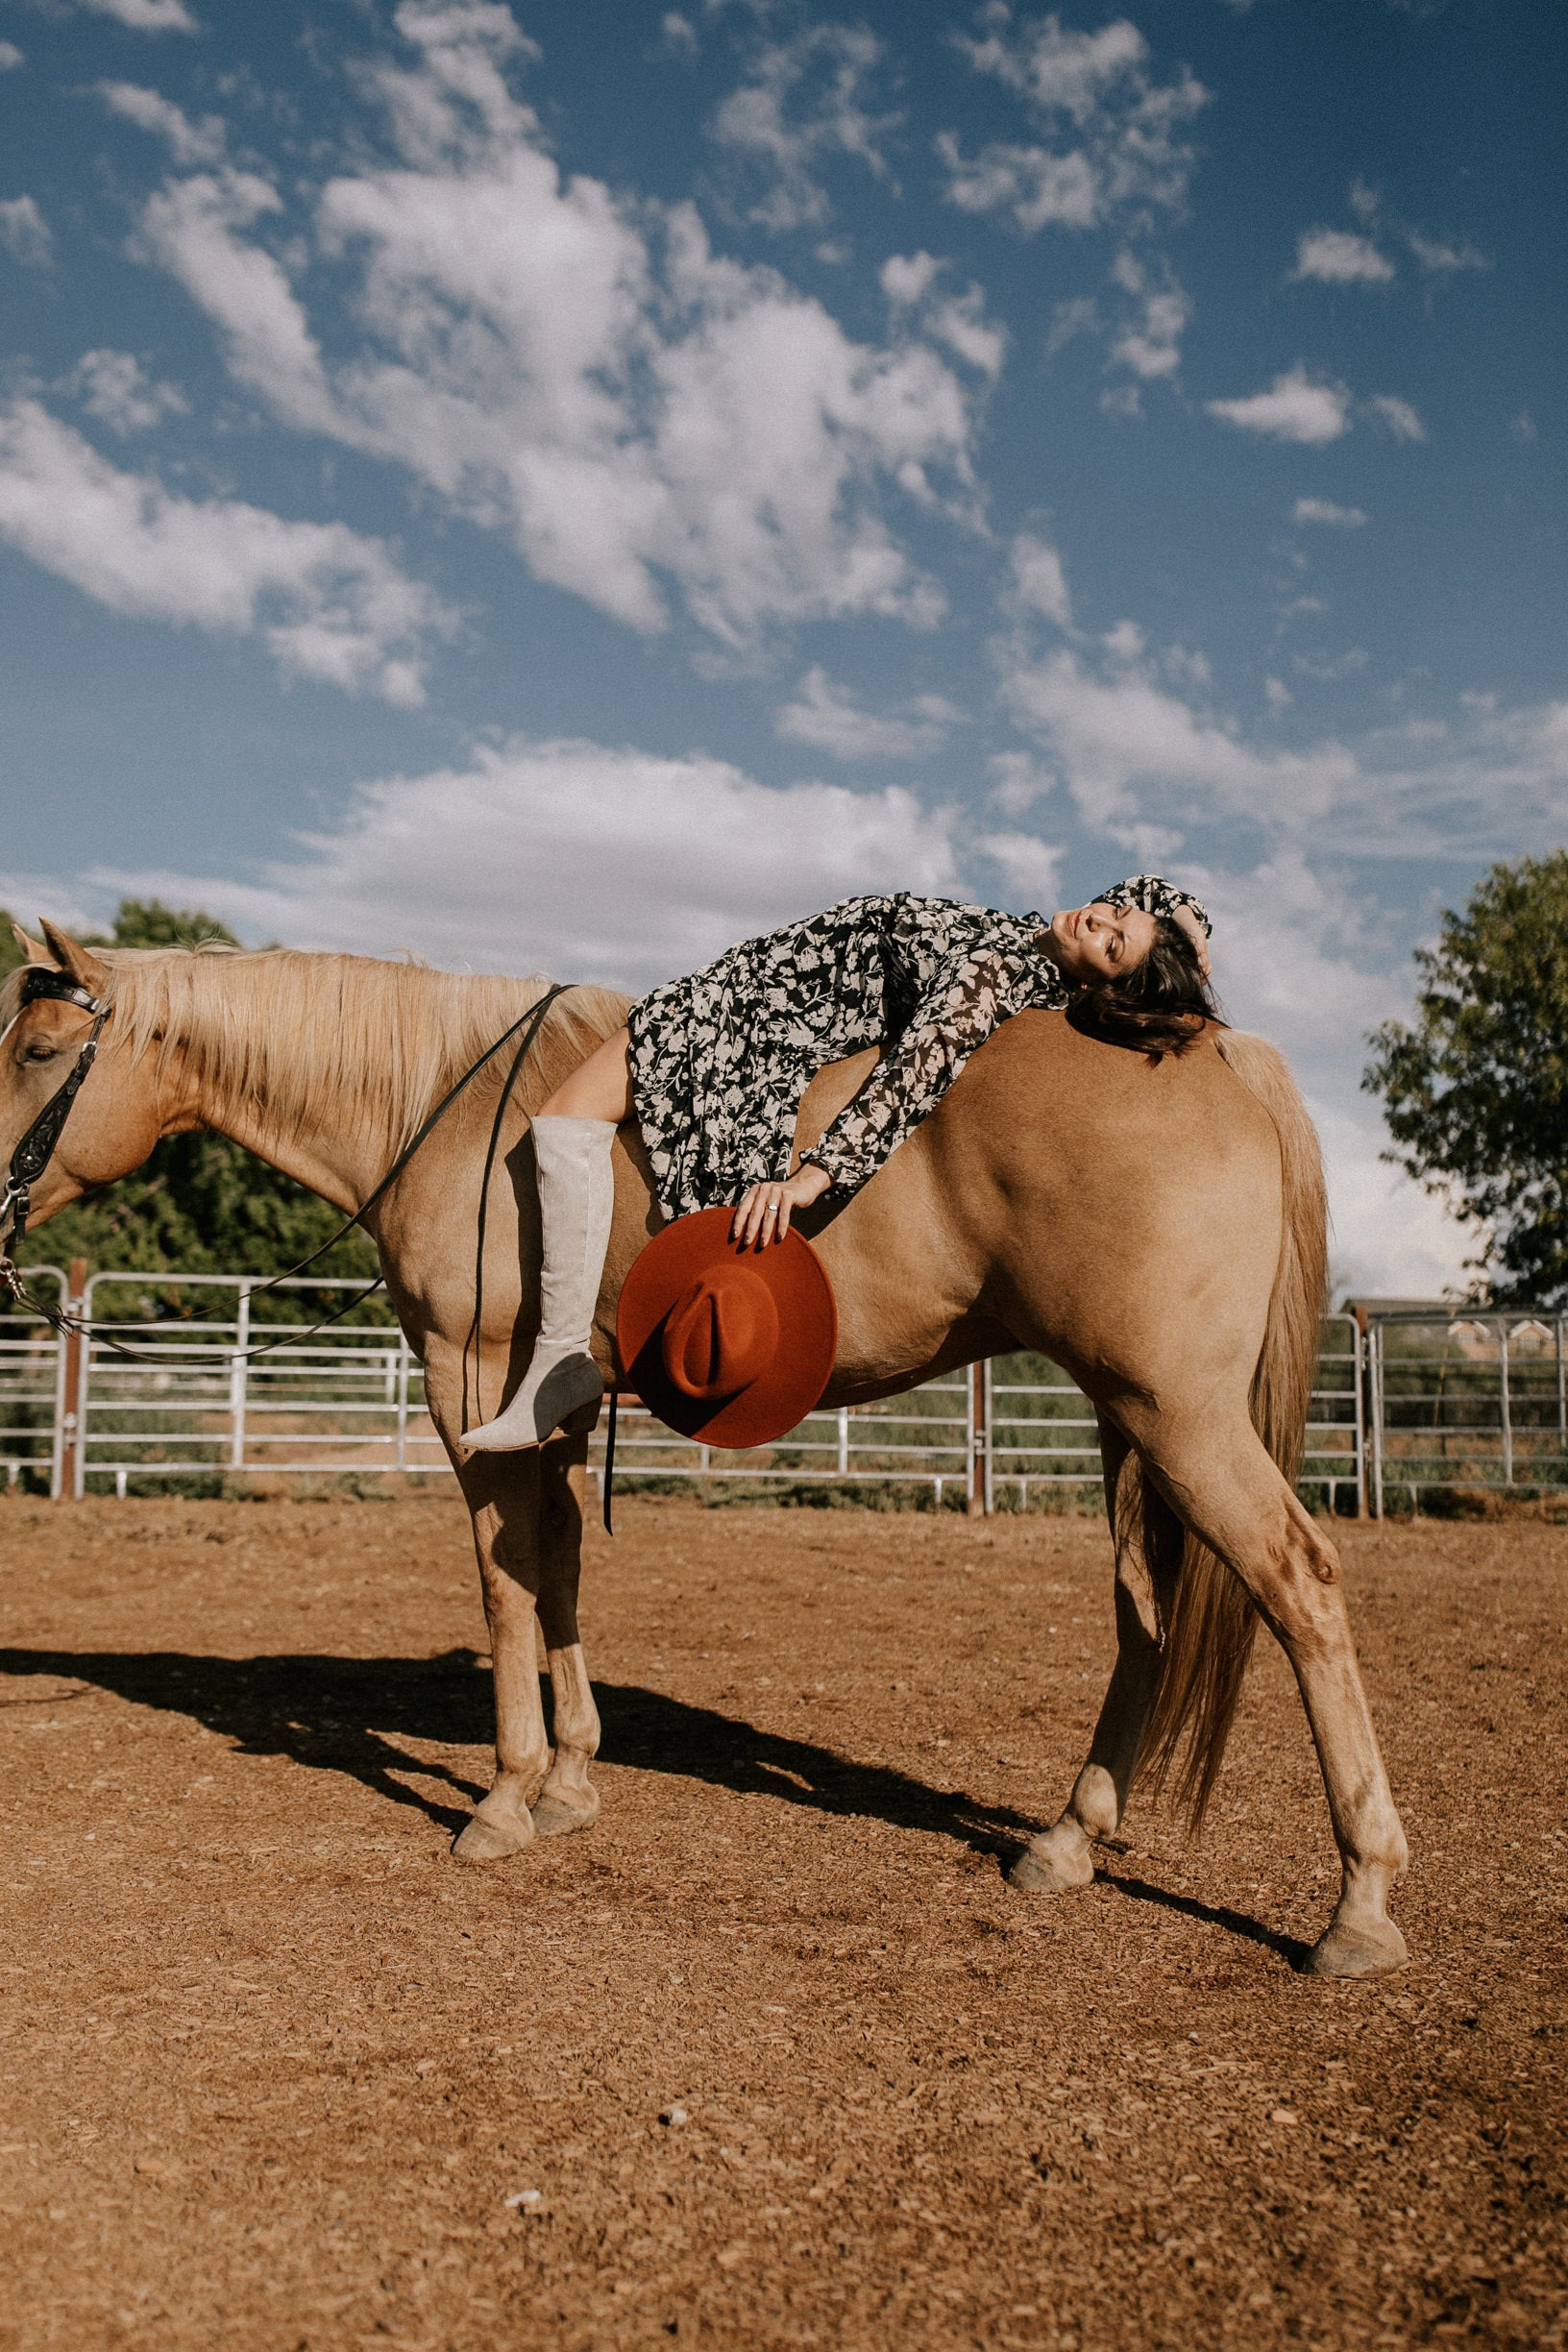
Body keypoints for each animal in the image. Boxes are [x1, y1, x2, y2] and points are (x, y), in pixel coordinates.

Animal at [0, 926, 1410, 1975]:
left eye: (38, 1048)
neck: (442, 1110)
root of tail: (1223, 1050)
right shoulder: (559, 1409)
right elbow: (559, 1573)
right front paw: (571, 1779)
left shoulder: (474, 1390)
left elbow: (505, 1584)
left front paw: (505, 1799)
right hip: (1132, 1423)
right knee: (1145, 1615)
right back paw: (1065, 1839)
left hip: (1180, 1420)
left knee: (1300, 1586)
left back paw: (1359, 1903)